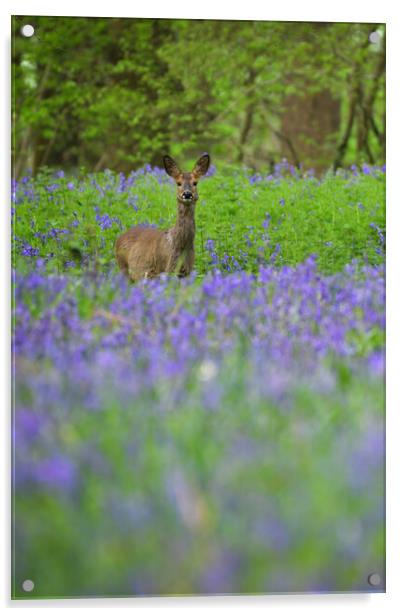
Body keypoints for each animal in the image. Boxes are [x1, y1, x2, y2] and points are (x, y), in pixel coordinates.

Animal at [114, 153, 210, 282]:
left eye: (195, 182)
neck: (180, 245)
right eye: (178, 183)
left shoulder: (187, 271)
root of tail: (119, 238)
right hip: (123, 267)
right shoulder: (168, 268)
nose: (187, 194)